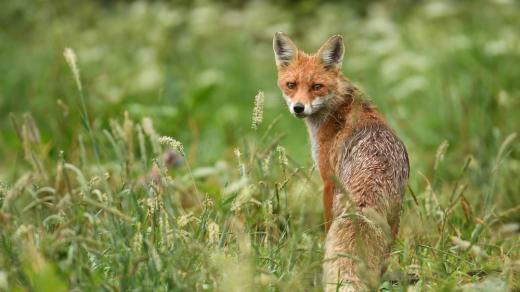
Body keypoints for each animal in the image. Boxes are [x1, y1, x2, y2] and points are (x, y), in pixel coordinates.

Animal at [272, 30, 410, 290]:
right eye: (291, 85)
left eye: (317, 86)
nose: (298, 108)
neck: (338, 107)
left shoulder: (327, 180)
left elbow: (325, 227)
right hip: (396, 214)